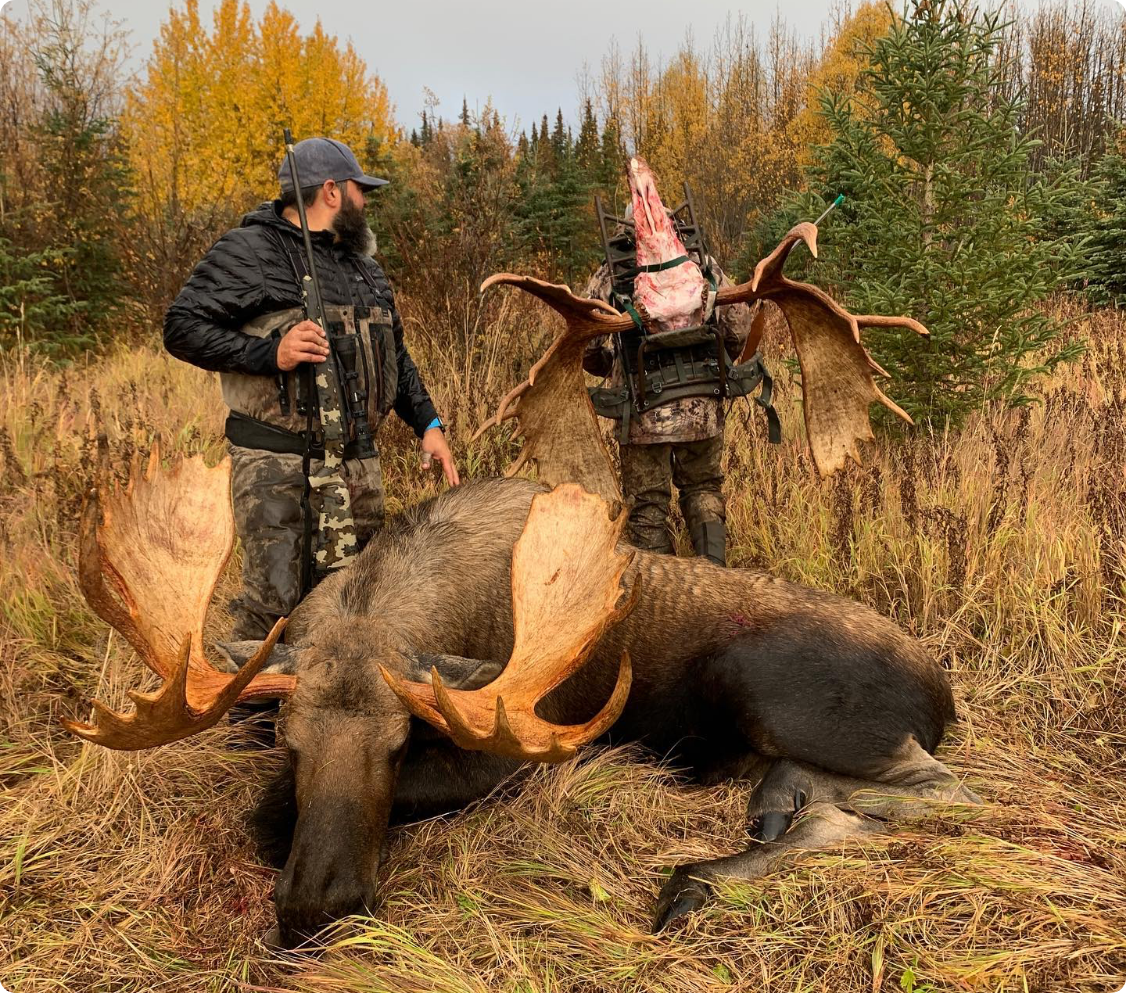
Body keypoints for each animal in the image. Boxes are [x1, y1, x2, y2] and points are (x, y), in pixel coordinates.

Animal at [64, 210, 978, 949]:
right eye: (289, 736)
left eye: (398, 743)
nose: (316, 909)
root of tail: (942, 691)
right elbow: (267, 799)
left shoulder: (516, 752)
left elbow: (270, 811)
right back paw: (773, 801)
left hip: (768, 685)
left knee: (941, 791)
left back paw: (700, 874)